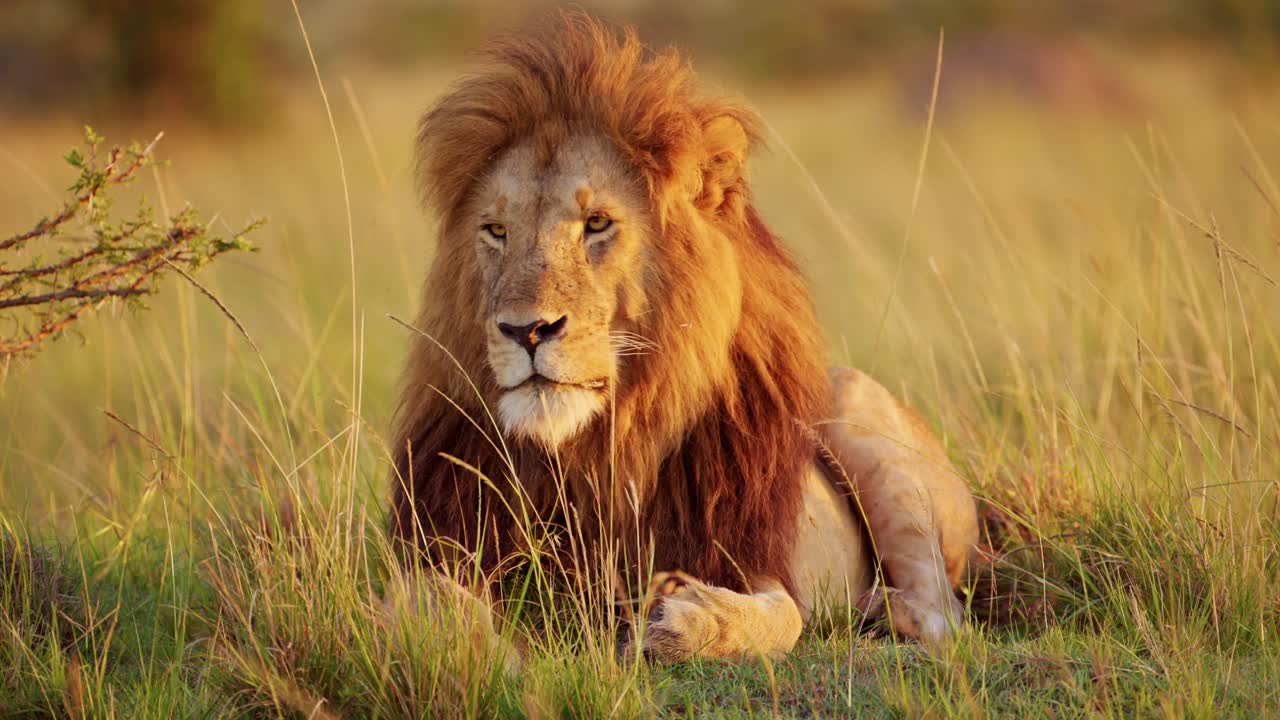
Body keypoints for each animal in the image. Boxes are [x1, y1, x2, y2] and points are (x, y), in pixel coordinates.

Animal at [389, 12, 979, 663]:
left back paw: (883, 611)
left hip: (857, 412)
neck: (593, 453)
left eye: (597, 223)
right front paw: (481, 654)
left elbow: (784, 618)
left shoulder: (747, 553)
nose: (526, 330)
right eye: (495, 231)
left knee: (945, 611)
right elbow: (421, 604)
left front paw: (683, 620)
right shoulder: (440, 540)